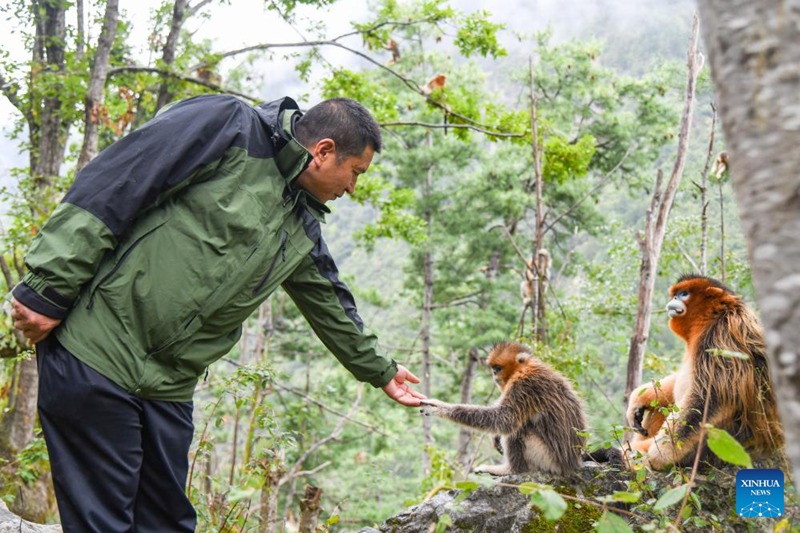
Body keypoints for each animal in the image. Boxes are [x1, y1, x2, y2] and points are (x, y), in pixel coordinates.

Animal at [418, 342, 588, 476]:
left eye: (498, 368)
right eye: (493, 368)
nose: (494, 374)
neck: (526, 368)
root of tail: (572, 464)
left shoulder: (524, 385)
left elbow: (504, 420)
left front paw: (439, 408)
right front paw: (495, 437)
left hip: (547, 459)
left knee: (519, 429)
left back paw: (510, 470)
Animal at [624, 276, 780, 468]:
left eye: (683, 294)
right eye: (676, 294)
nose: (674, 299)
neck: (713, 317)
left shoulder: (721, 337)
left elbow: (710, 396)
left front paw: (659, 455)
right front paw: (638, 399)